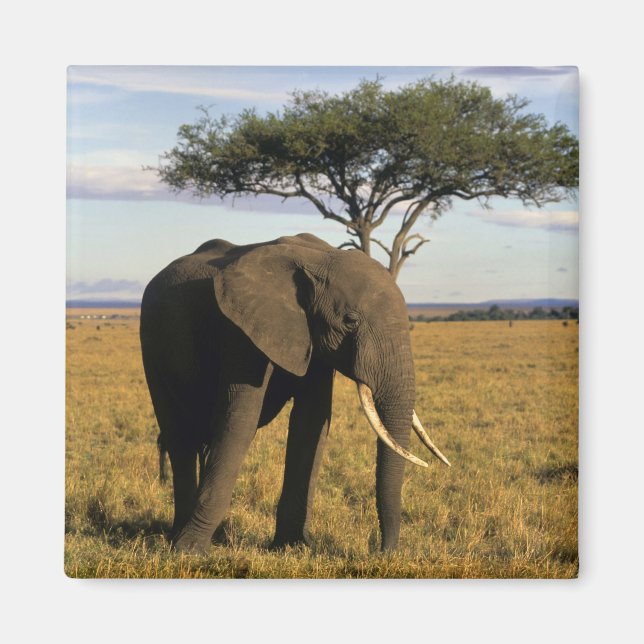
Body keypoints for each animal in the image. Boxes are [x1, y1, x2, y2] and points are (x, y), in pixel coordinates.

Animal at [140, 233, 449, 554]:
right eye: (350, 321)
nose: (382, 551)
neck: (319, 259)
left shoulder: (312, 338)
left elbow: (312, 421)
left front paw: (294, 546)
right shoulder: (241, 329)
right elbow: (239, 419)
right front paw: (190, 551)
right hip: (152, 344)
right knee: (180, 437)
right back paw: (180, 535)